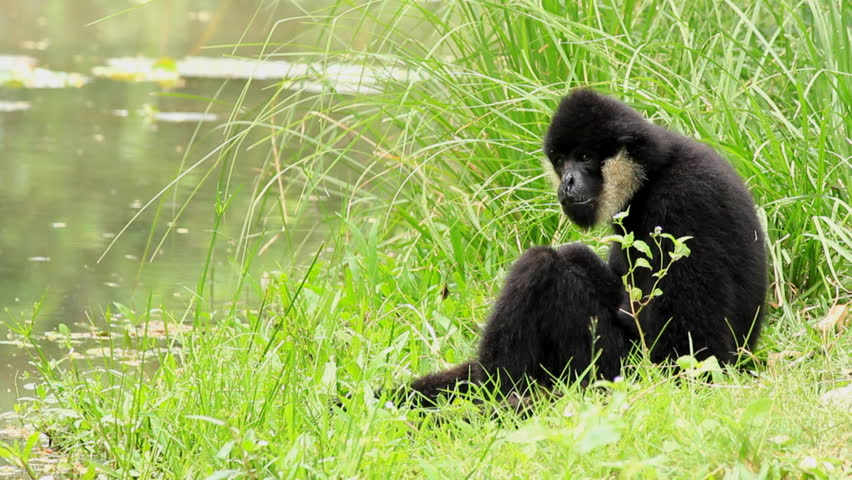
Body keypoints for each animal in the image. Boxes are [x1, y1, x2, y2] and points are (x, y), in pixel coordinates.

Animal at [391, 89, 767, 407]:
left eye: (584, 157)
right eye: (561, 161)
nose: (568, 181)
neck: (656, 172)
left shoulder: (685, 200)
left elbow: (692, 352)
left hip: (619, 364)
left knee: (543, 263)